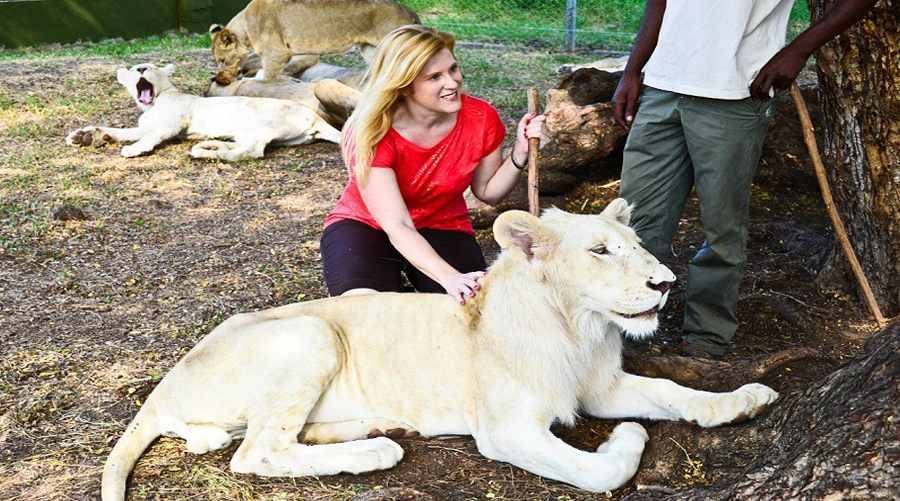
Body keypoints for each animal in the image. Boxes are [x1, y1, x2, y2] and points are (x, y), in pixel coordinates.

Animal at [65, 63, 341, 161]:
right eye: (134, 69)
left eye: (150, 67)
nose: (142, 68)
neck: (152, 104)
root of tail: (317, 117)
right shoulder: (144, 125)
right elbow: (119, 131)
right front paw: (86, 136)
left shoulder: (173, 121)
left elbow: (150, 137)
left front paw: (134, 149)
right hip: (253, 131)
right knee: (245, 146)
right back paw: (208, 145)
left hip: (261, 123)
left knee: (252, 152)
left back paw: (206, 154)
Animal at [101, 201, 778, 501]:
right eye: (600, 251)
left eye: (635, 244)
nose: (664, 283)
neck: (576, 330)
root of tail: (165, 383)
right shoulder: (505, 430)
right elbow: (598, 470)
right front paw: (628, 439)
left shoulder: (600, 386)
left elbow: (672, 391)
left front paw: (743, 399)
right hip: (311, 331)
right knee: (254, 452)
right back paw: (374, 450)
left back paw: (364, 427)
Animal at [210, 0, 419, 81]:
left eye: (222, 60)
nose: (215, 76)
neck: (245, 27)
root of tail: (409, 11)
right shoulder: (292, 53)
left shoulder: (276, 53)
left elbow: (268, 77)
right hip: (372, 49)